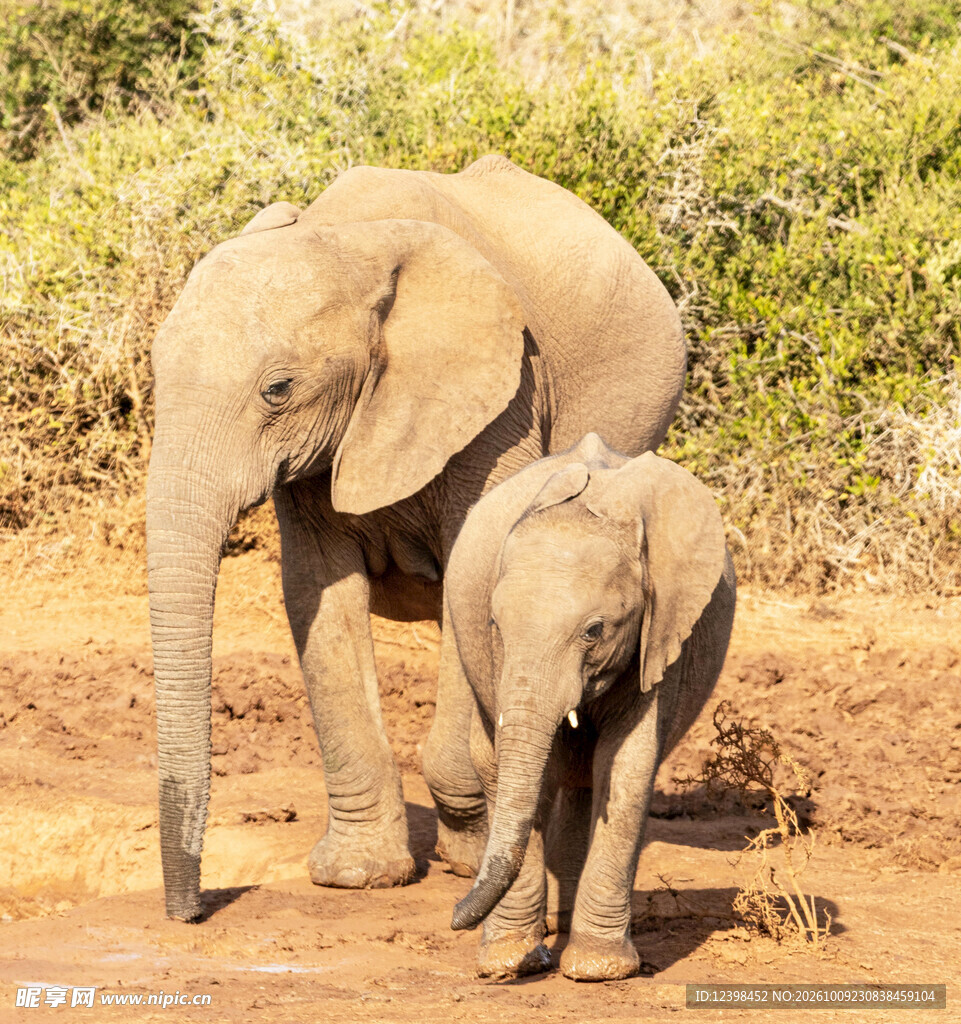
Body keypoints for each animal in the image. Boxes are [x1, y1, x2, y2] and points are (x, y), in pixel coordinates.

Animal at [146, 154, 686, 922]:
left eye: (278, 389)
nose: (188, 913)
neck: (347, 242)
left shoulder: (504, 399)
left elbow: (474, 573)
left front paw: (470, 855)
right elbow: (317, 594)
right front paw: (360, 875)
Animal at [435, 433, 735, 981]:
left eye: (594, 631)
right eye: (494, 624)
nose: (454, 916)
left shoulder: (661, 634)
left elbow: (627, 765)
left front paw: (598, 970)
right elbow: (498, 762)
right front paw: (510, 962)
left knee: (586, 778)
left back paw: (567, 924)